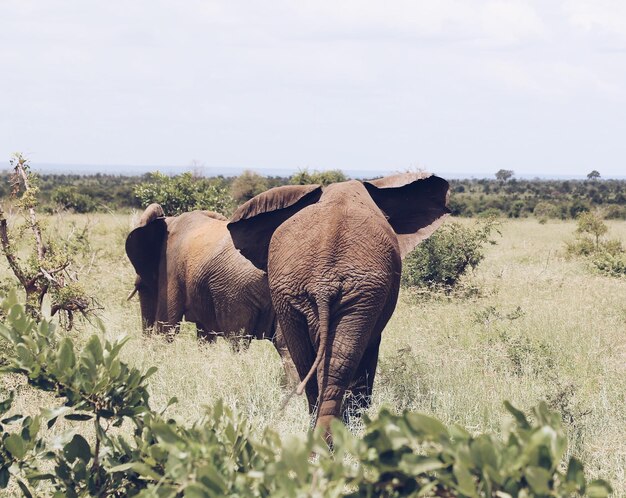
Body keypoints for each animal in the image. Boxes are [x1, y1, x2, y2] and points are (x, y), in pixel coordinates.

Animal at [125, 200, 296, 380]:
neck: (168, 221)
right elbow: (205, 336)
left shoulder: (170, 266)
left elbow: (166, 327)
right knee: (286, 348)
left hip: (237, 293)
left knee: (238, 341)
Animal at [227, 173, 446, 438]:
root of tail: (324, 282)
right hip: (344, 295)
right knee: (337, 362)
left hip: (305, 295)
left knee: (311, 362)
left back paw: (318, 440)